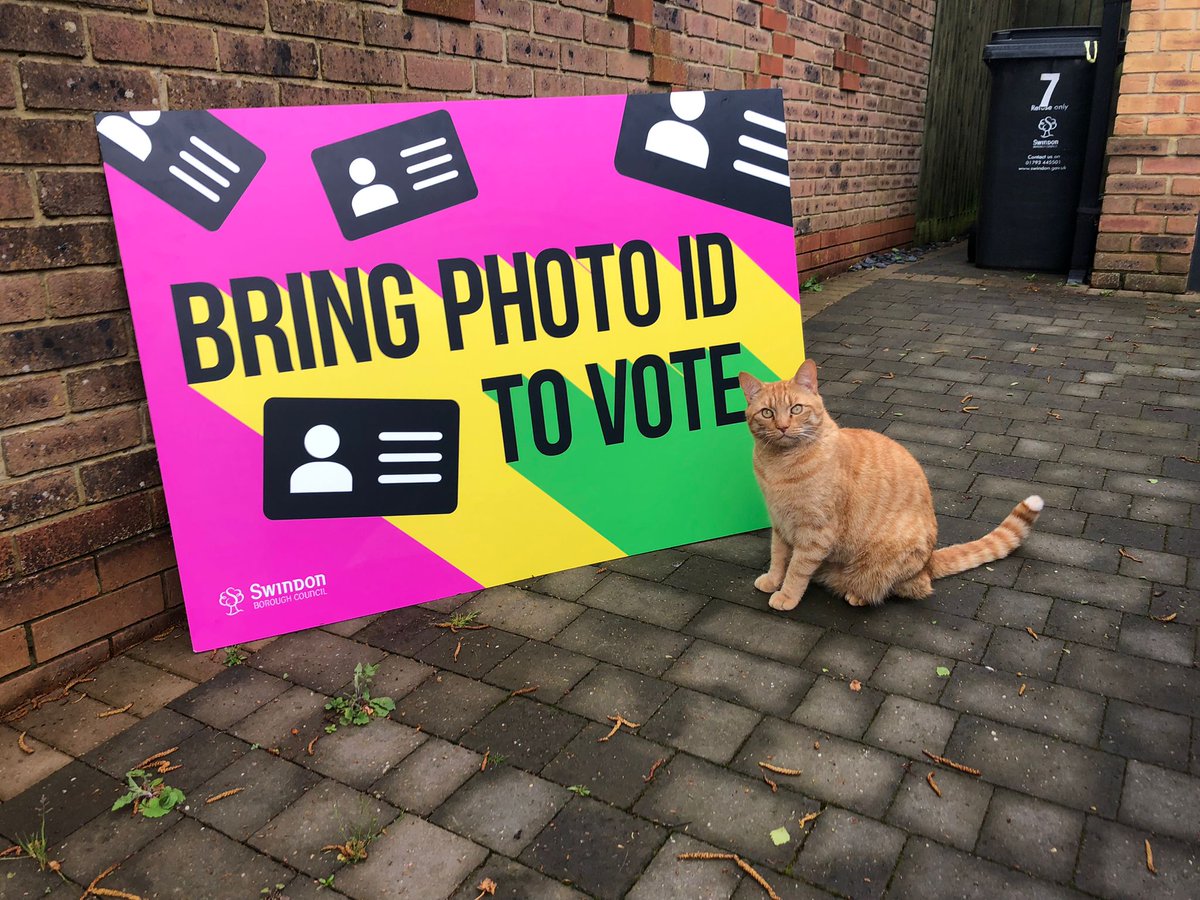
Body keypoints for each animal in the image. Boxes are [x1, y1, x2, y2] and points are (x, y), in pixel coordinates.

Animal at [734, 362, 1036, 614]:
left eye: (796, 409)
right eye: (767, 413)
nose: (783, 427)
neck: (779, 464)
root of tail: (928, 562)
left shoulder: (815, 532)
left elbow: (797, 569)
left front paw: (787, 594)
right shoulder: (780, 524)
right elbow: (778, 557)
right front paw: (773, 580)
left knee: (906, 587)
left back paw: (858, 594)